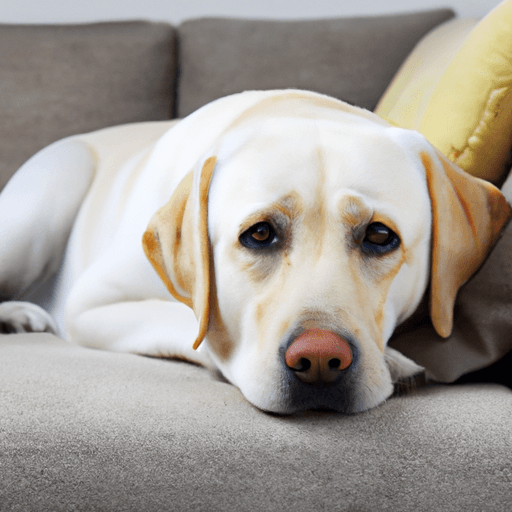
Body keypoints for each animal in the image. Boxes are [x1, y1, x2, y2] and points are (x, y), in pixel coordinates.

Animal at [1, 90, 512, 414]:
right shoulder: (90, 304)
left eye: (380, 236)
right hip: (47, 197)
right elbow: (197, 326)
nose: (320, 360)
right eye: (260, 234)